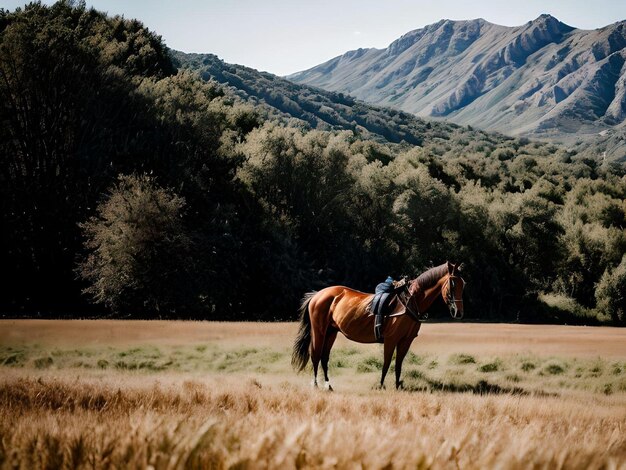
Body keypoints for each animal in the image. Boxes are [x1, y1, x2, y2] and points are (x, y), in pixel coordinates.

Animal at [292, 260, 464, 390]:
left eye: (463, 284)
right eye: (452, 283)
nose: (459, 312)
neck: (410, 302)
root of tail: (318, 295)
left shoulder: (405, 341)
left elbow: (398, 365)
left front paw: (397, 386)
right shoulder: (391, 340)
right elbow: (386, 363)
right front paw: (381, 385)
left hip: (331, 332)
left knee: (324, 358)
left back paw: (329, 386)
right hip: (319, 332)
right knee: (315, 356)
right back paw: (316, 386)